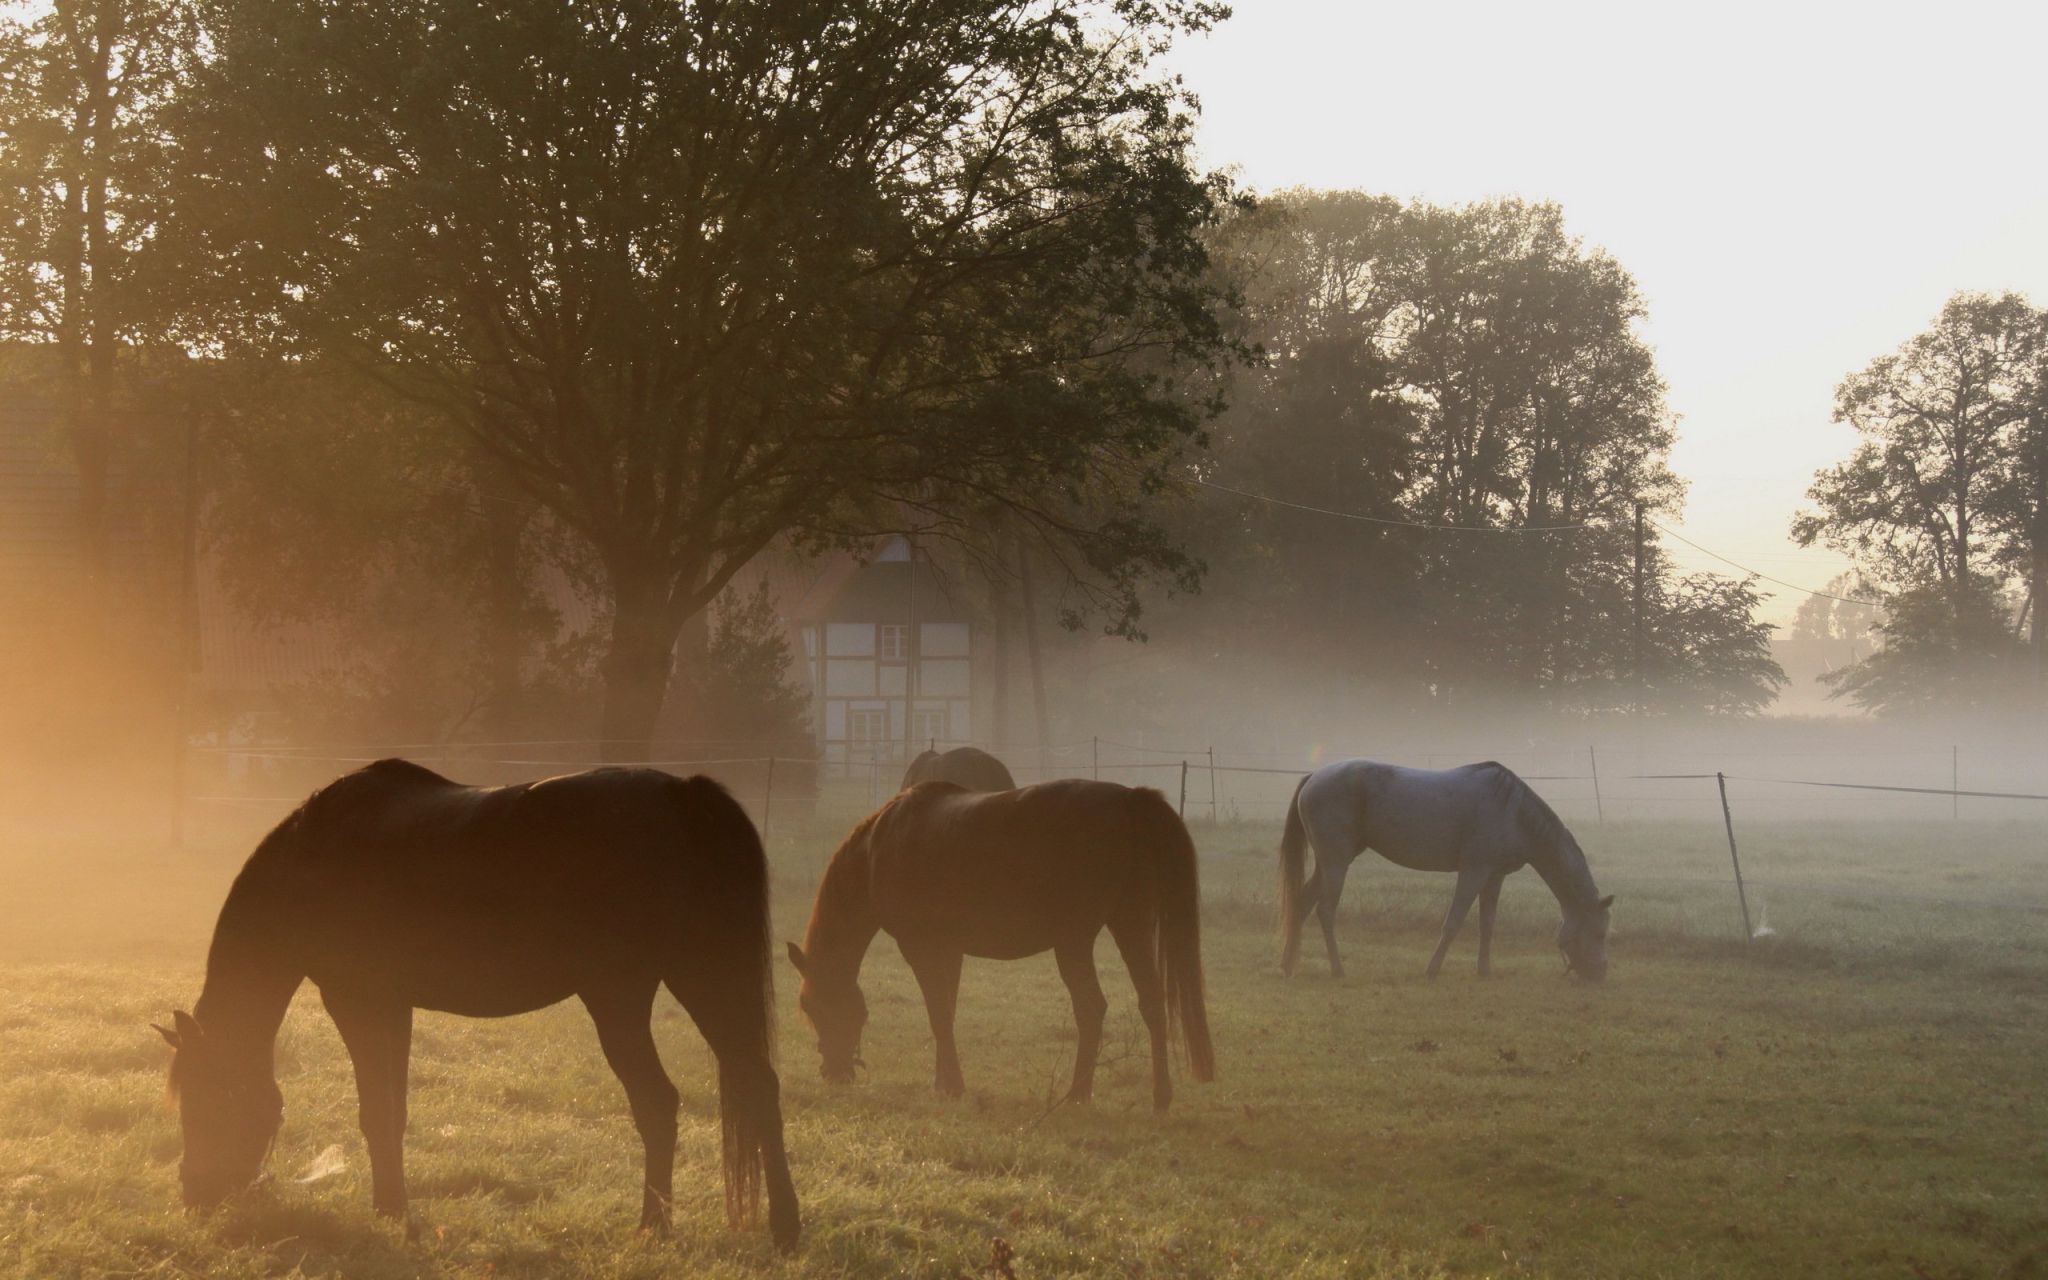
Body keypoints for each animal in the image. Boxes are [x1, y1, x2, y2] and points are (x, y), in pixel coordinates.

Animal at [151, 757, 802, 1245]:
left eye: (210, 1096)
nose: (194, 1195)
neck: (315, 859)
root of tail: (684, 795)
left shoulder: (357, 1003)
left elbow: (375, 1111)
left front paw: (393, 1212)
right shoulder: (393, 1007)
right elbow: (391, 1110)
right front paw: (393, 1209)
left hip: (621, 999)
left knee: (658, 1102)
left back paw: (654, 1228)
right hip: (703, 978)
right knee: (757, 1084)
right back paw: (784, 1226)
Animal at [786, 774, 1212, 1114]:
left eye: (811, 1005)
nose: (835, 1073)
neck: (879, 846)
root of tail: (1128, 800)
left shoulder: (920, 949)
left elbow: (938, 1015)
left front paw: (952, 1086)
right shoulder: (948, 951)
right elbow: (947, 1011)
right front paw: (944, 1083)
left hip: (1074, 942)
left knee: (1092, 1008)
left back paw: (1077, 1094)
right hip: (1130, 925)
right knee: (1152, 1004)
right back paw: (1160, 1097)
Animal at [1277, 757, 1613, 978]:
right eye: (1599, 933)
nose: (1598, 975)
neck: (1514, 812)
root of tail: (1315, 775)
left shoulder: (1494, 877)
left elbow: (1487, 925)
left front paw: (1484, 970)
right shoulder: (1473, 871)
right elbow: (1454, 922)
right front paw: (1433, 969)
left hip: (1328, 863)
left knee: (1302, 904)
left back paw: (1289, 965)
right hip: (1336, 863)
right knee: (1325, 911)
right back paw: (1337, 969)